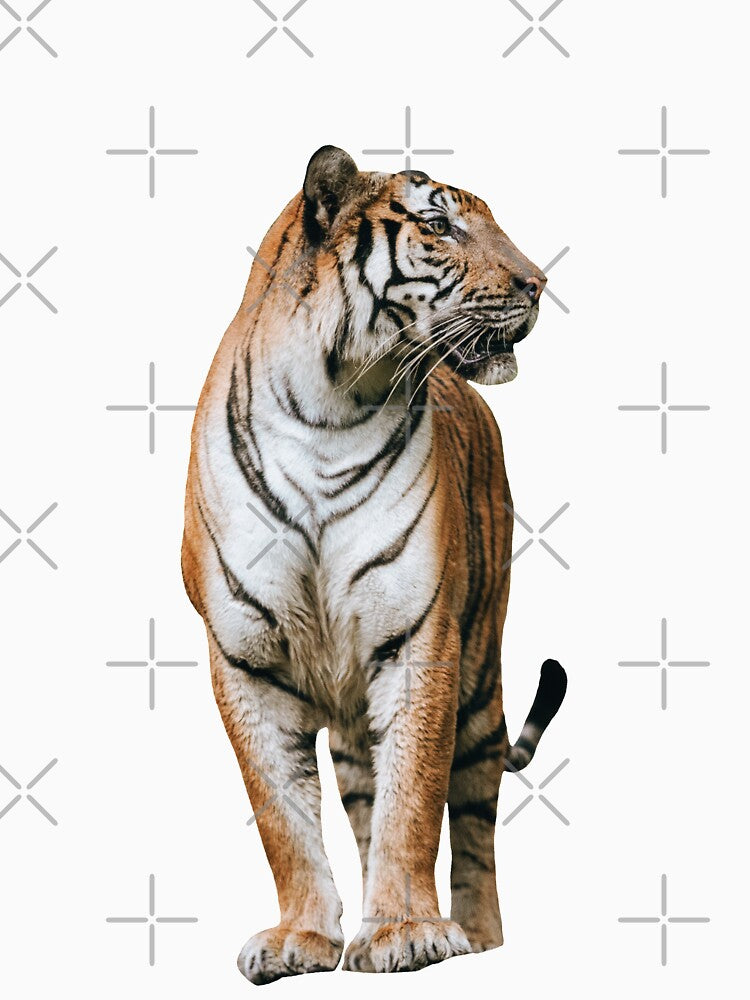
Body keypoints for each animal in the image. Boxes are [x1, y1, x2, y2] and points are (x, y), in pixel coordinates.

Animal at [181, 145, 567, 984]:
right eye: (440, 226)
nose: (538, 283)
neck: (328, 410)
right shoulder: (243, 656)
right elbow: (281, 815)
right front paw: (302, 938)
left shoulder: (420, 639)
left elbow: (414, 798)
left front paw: (408, 932)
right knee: (364, 797)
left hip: (481, 677)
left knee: (475, 818)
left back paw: (478, 936)